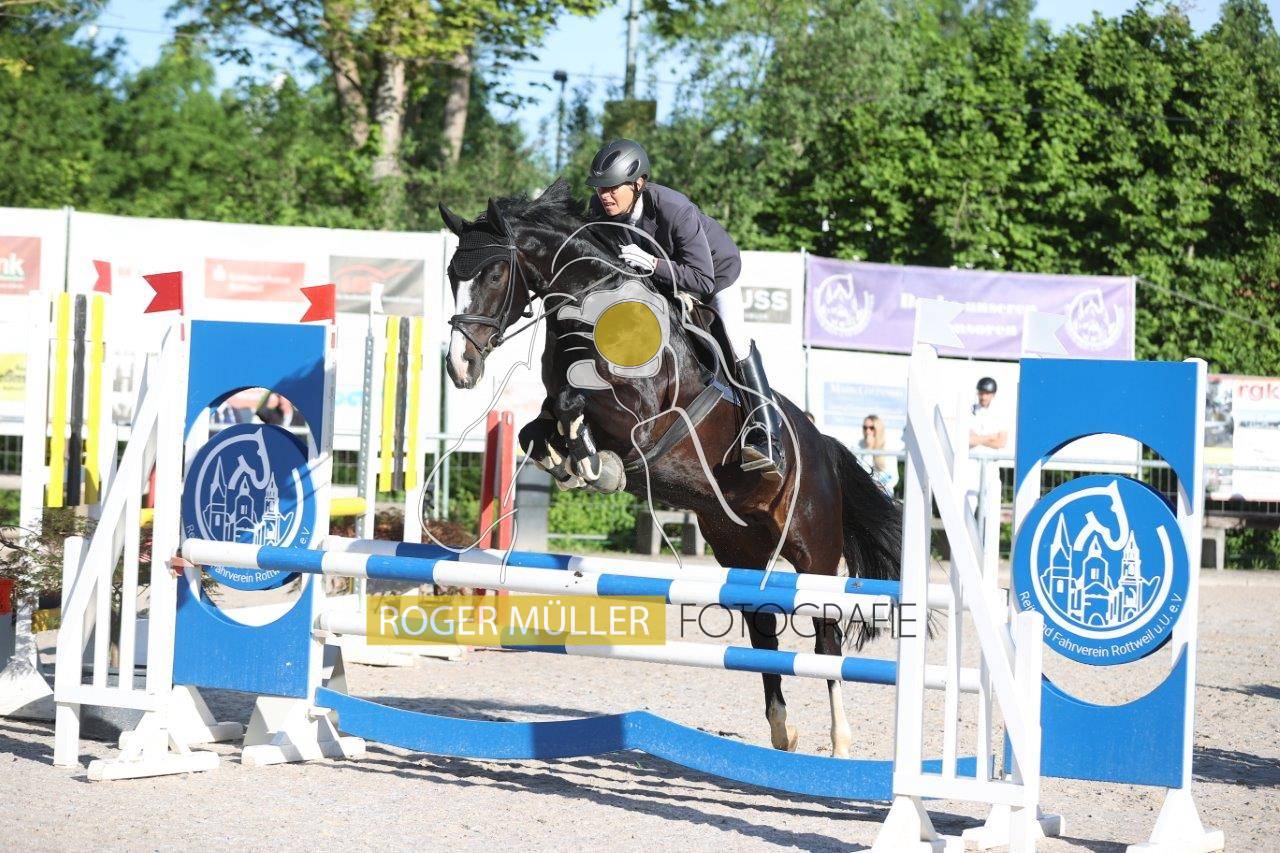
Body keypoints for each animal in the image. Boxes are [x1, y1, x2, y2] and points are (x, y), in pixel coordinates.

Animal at [438, 178, 902, 758]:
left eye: (496, 273)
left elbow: (575, 404)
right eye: (452, 276)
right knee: (763, 629)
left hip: (814, 550)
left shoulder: (643, 415)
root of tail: (825, 446)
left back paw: (840, 743)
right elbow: (539, 426)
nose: (459, 366)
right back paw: (781, 730)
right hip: (737, 545)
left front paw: (599, 465)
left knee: (826, 636)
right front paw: (573, 462)